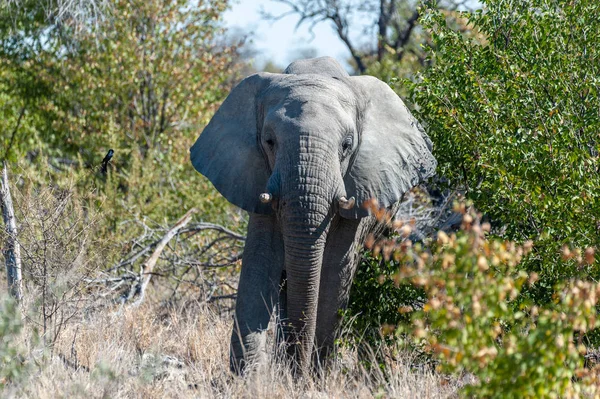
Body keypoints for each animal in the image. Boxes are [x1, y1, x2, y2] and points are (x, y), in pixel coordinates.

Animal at [191, 56, 436, 376]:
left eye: (346, 145)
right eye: (269, 141)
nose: (299, 371)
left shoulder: (359, 187)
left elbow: (333, 271)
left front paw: (314, 379)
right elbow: (260, 261)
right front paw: (248, 379)